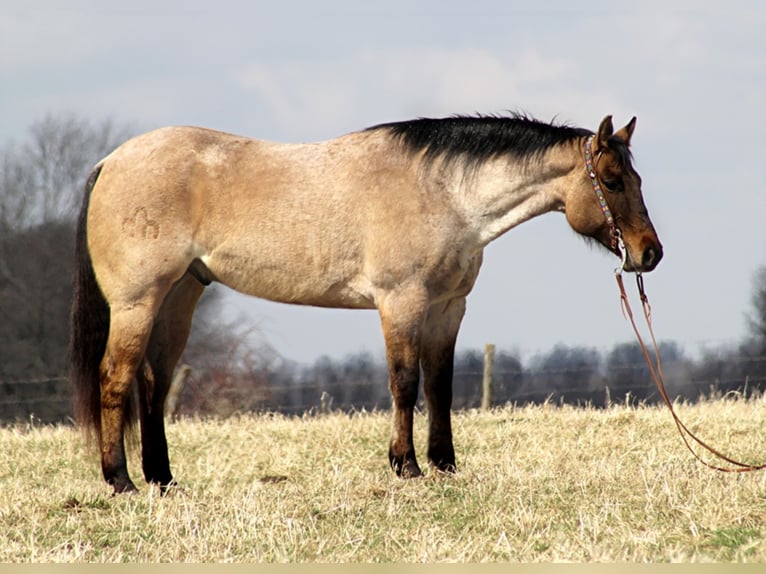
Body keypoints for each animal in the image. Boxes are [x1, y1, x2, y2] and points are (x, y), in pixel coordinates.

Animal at [69, 111, 664, 496]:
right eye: (612, 180)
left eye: (637, 177)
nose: (649, 253)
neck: (443, 193)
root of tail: (111, 161)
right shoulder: (402, 302)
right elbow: (403, 382)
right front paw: (407, 466)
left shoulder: (448, 309)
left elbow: (440, 385)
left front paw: (445, 465)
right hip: (138, 301)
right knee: (116, 377)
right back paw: (120, 480)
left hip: (179, 296)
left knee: (154, 381)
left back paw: (163, 479)